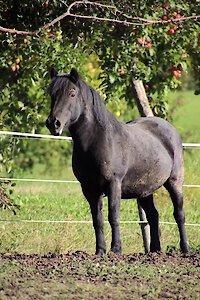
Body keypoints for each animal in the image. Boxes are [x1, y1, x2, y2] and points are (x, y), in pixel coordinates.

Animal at [46, 68, 188, 255]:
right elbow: (97, 220)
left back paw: (185, 249)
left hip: (174, 182)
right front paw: (100, 251)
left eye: (72, 93)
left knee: (179, 214)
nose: (53, 123)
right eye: (51, 94)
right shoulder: (89, 189)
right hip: (145, 190)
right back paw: (155, 251)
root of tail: (169, 128)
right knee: (153, 216)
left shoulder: (113, 184)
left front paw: (116, 249)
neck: (98, 140)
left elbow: (113, 216)